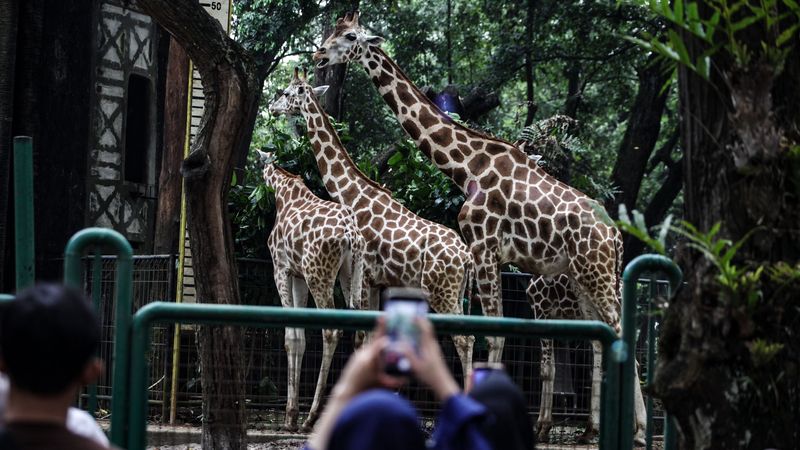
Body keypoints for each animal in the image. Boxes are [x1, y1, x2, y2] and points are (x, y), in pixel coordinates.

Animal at [260, 154, 366, 432]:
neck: (283, 193)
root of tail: (351, 235)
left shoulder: (281, 268)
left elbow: (291, 337)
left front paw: (291, 415)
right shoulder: (298, 276)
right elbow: (301, 338)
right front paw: (291, 416)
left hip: (318, 274)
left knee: (331, 330)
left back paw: (312, 417)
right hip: (352, 272)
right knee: (361, 330)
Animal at [316, 12, 648, 444]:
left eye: (350, 37)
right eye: (334, 32)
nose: (320, 55)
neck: (466, 167)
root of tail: (616, 237)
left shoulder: (484, 249)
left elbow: (493, 332)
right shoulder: (489, 257)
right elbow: (489, 331)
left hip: (597, 271)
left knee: (624, 333)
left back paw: (640, 431)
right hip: (582, 276)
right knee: (608, 334)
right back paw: (603, 429)